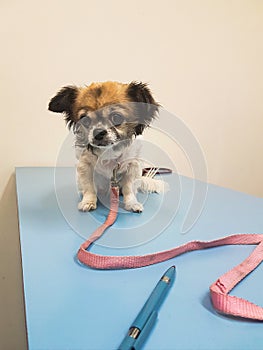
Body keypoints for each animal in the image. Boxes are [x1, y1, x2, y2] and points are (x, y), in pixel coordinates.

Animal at [48, 81, 166, 213]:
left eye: (116, 117)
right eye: (85, 120)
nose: (98, 132)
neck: (108, 150)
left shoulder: (132, 166)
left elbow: (129, 188)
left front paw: (132, 203)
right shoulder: (85, 166)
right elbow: (89, 187)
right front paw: (88, 202)